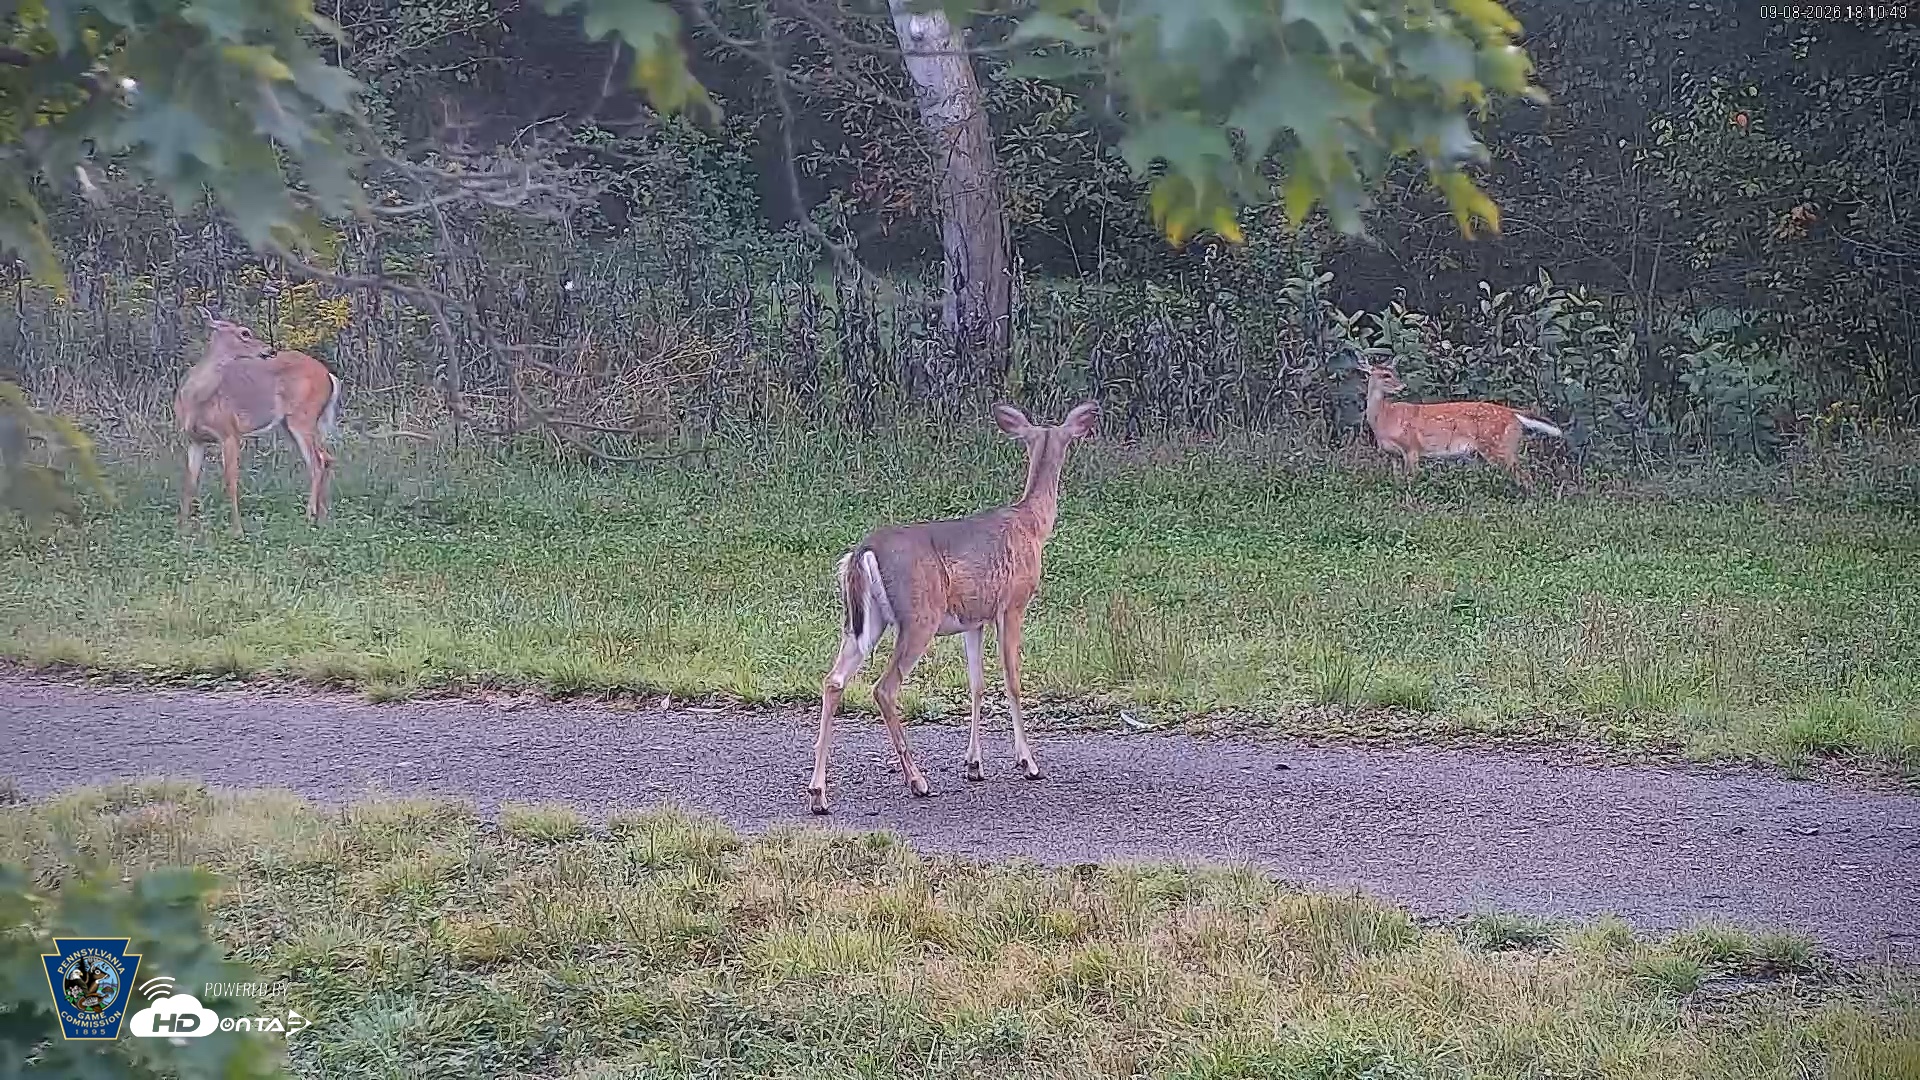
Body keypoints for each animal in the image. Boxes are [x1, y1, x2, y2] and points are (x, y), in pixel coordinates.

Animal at [175, 308, 343, 536]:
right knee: (325, 458)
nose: (269, 350)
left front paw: (237, 530)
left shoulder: (230, 432)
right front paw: (182, 529)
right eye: (245, 333)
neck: (196, 400)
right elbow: (190, 481)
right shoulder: (194, 439)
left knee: (317, 462)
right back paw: (323, 518)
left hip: (303, 417)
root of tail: (329, 375)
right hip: (293, 423)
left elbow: (231, 480)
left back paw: (309, 517)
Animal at [809, 400, 1101, 816]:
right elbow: (1012, 679)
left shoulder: (974, 620)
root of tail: (863, 551)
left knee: (833, 681)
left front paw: (974, 764)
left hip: (865, 622)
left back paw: (819, 794)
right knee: (884, 688)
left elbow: (977, 683)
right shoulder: (1012, 604)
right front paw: (1027, 762)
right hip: (918, 617)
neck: (1032, 524)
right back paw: (917, 781)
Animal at [1356, 359, 1564, 490]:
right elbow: (1398, 481)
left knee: (1525, 477)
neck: (1385, 419)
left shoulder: (1412, 448)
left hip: (1500, 446)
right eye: (1385, 375)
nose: (1402, 386)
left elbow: (1411, 480)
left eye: (1393, 373)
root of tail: (1514, 414)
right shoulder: (1392, 455)